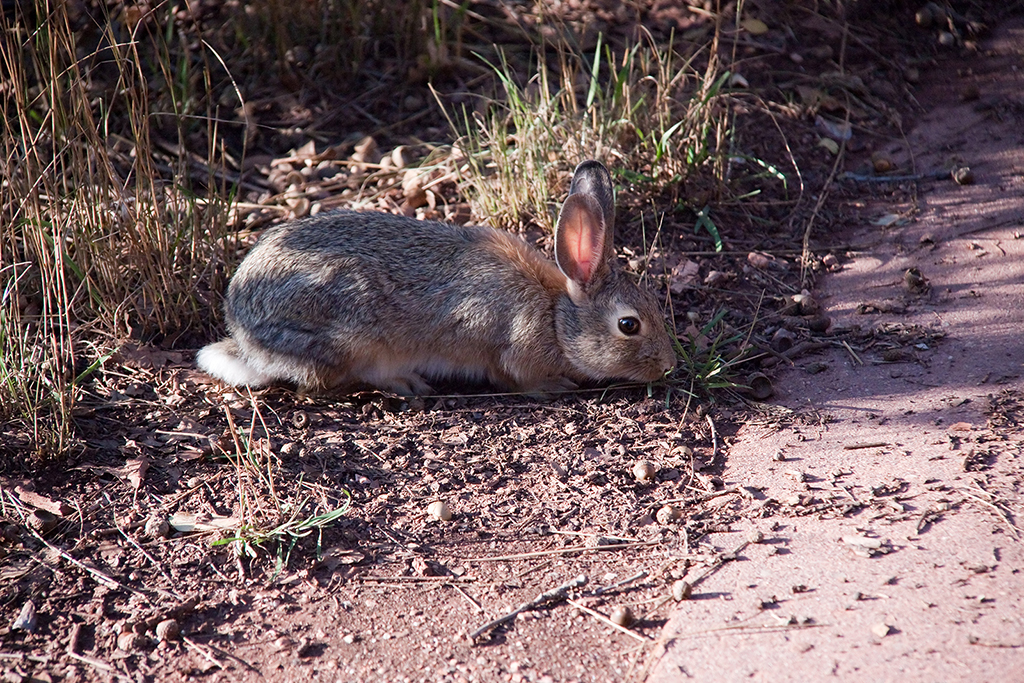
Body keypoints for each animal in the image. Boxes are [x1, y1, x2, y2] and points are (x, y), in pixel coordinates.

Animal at [197, 160, 679, 395]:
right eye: (629, 325)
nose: (669, 365)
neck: (556, 316)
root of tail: (244, 338)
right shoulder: (511, 348)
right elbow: (515, 379)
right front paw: (555, 385)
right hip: (348, 335)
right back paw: (404, 384)